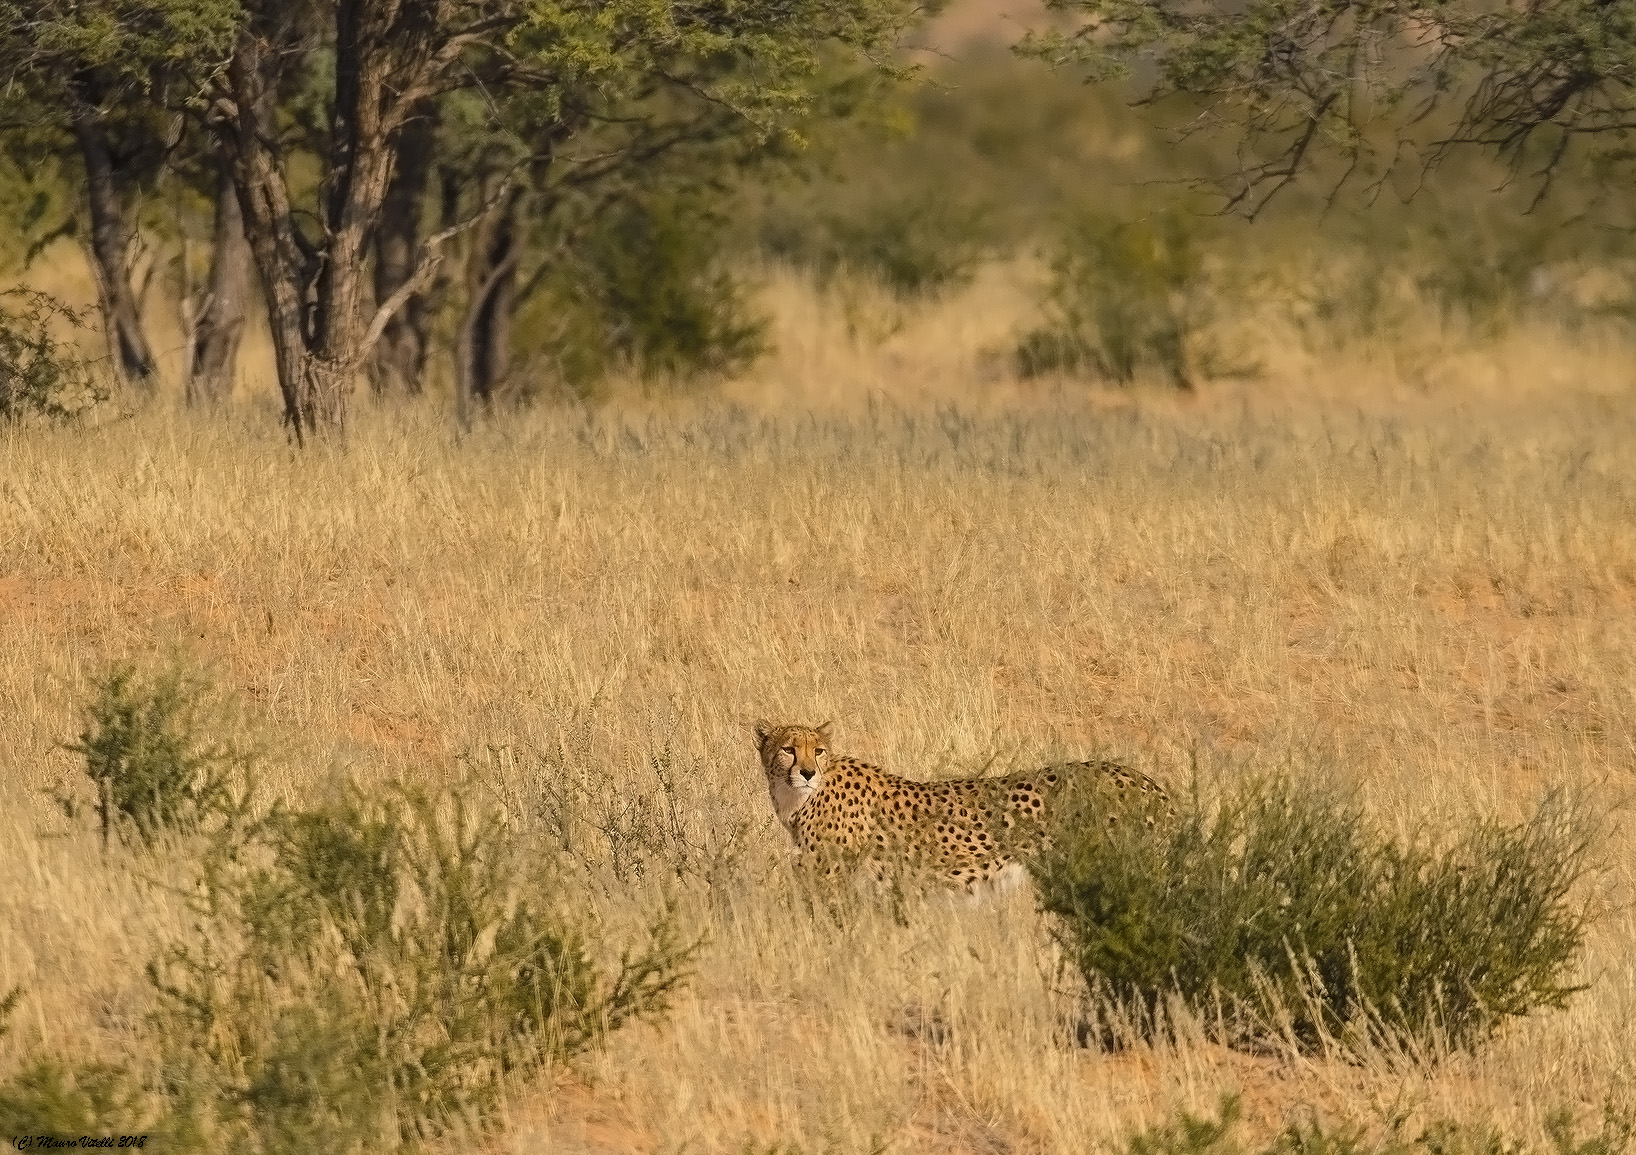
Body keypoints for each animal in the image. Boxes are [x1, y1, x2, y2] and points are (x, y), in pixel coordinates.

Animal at [753, 720, 1173, 893]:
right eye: (788, 749)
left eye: (818, 750)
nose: (807, 772)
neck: (797, 798)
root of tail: (1147, 781)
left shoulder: (829, 877)